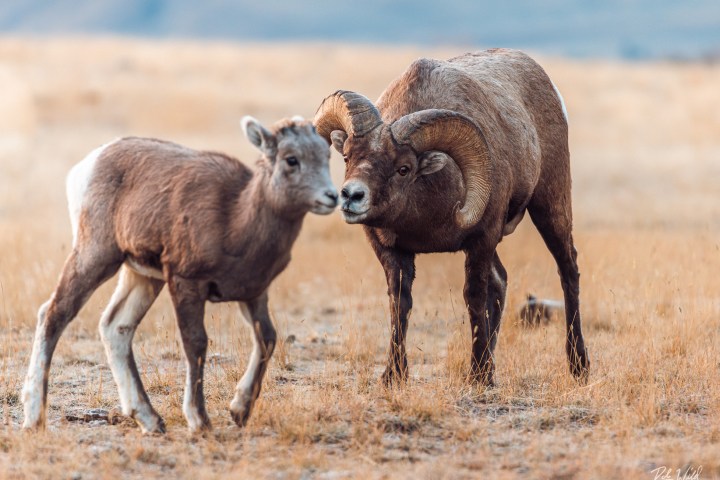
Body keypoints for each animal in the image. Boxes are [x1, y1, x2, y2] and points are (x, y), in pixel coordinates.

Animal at [22, 116, 338, 434]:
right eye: (291, 159)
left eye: (327, 156)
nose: (332, 196)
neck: (235, 219)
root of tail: (89, 164)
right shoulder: (186, 284)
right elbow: (196, 343)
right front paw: (200, 421)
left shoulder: (254, 294)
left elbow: (268, 338)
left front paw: (240, 411)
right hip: (96, 256)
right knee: (54, 314)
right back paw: (34, 418)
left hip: (143, 277)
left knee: (116, 326)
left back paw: (150, 420)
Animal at [314, 48, 589, 386]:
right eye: (347, 156)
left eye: (404, 168)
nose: (351, 196)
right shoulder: (392, 251)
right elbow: (400, 303)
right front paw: (394, 375)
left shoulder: (481, 240)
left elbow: (474, 297)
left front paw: (479, 376)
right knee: (501, 282)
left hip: (550, 206)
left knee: (568, 271)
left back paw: (578, 366)